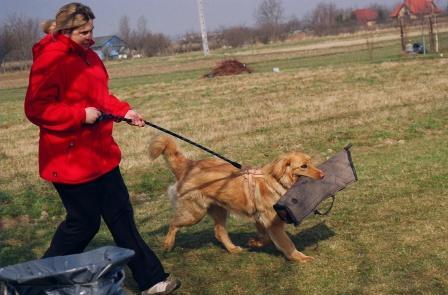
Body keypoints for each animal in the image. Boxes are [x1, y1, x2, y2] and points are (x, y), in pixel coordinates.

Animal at [149, 135, 324, 262]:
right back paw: (167, 244)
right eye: (303, 166)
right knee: (173, 223)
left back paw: (232, 248)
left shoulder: (260, 219)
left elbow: (266, 238)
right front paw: (300, 257)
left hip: (219, 210)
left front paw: (255, 242)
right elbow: (287, 244)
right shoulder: (272, 223)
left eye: (311, 162)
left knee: (219, 232)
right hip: (194, 213)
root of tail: (188, 165)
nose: (323, 175)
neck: (276, 181)